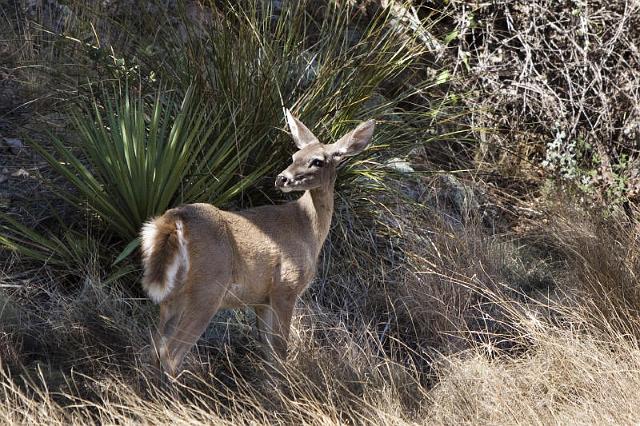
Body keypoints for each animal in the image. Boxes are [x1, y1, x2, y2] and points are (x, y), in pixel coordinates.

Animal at [140, 110, 376, 376]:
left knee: (154, 349)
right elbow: (281, 351)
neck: (306, 228)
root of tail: (174, 220)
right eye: (294, 156)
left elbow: (269, 354)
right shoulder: (286, 287)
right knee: (171, 354)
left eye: (317, 161)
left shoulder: (261, 299)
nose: (282, 178)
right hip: (208, 289)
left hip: (173, 295)